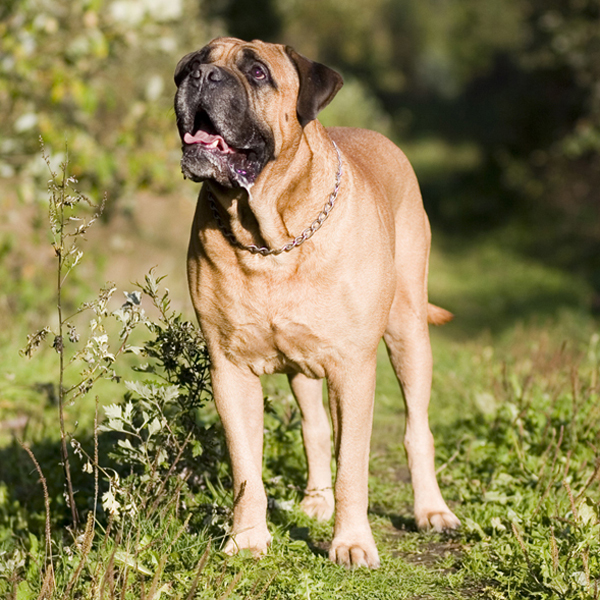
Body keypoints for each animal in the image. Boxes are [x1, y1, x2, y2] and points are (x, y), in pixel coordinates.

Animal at [173, 36, 460, 568]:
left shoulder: (353, 369)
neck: (268, 235)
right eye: (194, 65)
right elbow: (246, 468)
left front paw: (352, 543)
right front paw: (247, 538)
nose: (201, 78)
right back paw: (315, 502)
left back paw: (432, 510)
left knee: (417, 428)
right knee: (315, 428)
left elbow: (354, 466)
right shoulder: (230, 370)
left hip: (408, 333)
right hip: (302, 365)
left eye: (257, 73)